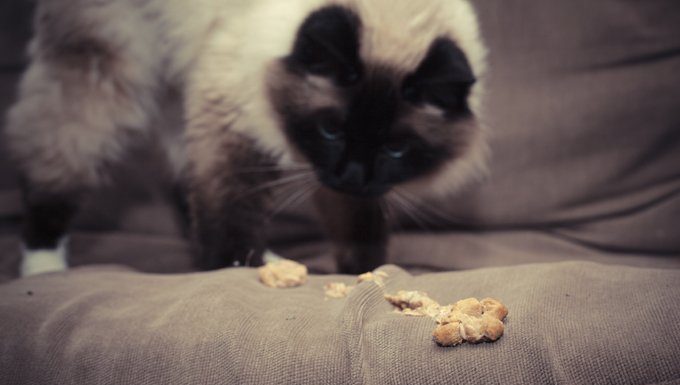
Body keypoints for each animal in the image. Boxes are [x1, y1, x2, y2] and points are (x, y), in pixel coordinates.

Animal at [2, 0, 486, 276]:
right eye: (330, 129)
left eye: (395, 148)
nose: (350, 174)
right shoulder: (231, 112)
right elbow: (230, 206)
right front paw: (233, 266)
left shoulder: (350, 184)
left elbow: (359, 225)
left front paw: (367, 272)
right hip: (105, 72)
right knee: (55, 160)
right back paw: (43, 267)